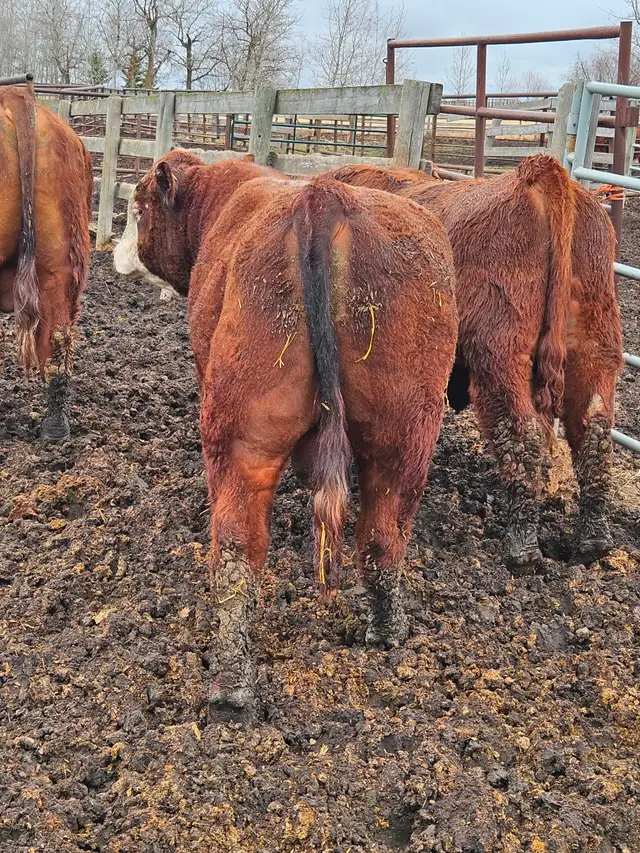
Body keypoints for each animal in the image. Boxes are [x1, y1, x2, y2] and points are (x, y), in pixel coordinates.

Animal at [114, 150, 458, 713]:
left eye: (138, 206)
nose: (116, 254)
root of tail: (322, 197)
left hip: (239, 431)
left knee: (236, 544)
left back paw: (231, 687)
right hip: (406, 425)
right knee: (383, 532)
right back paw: (387, 631)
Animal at [324, 156, 623, 567]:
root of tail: (540, 176)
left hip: (501, 356)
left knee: (522, 434)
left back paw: (523, 548)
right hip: (593, 350)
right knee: (592, 431)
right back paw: (593, 540)